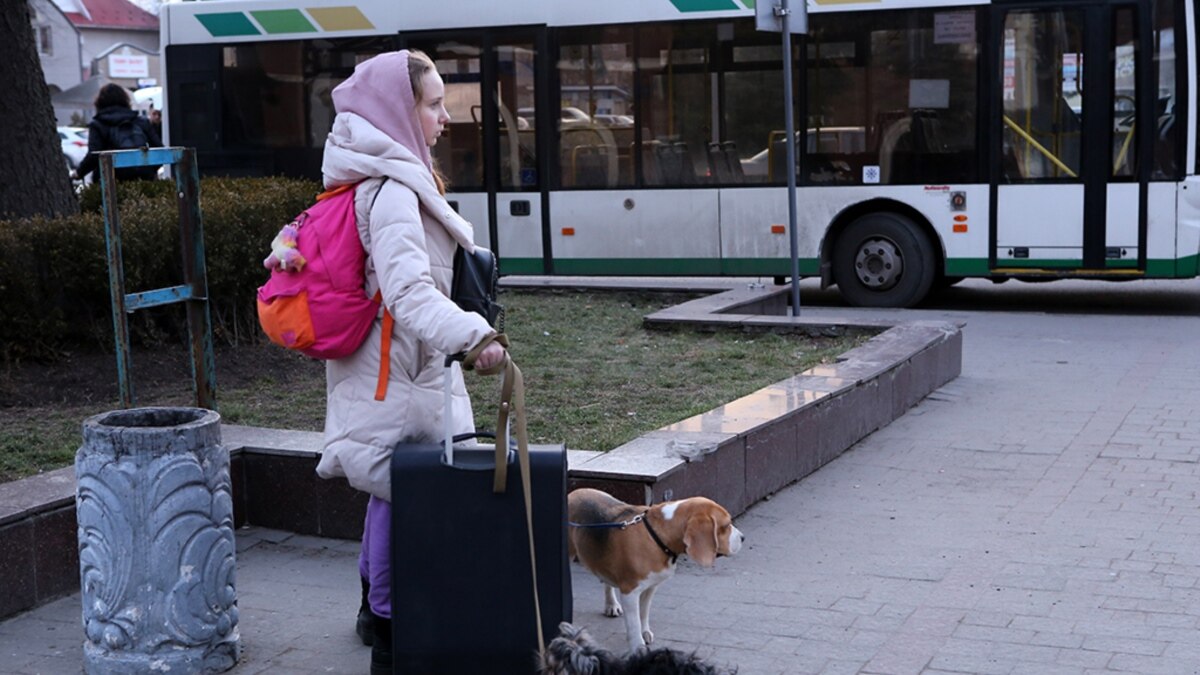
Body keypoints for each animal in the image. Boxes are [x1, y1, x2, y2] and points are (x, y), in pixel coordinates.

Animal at [564, 485, 739, 648]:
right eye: (726, 525)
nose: (743, 537)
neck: (657, 535)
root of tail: (574, 492)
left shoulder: (650, 586)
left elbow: (643, 613)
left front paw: (645, 632)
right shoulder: (630, 592)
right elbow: (634, 623)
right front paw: (638, 646)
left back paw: (611, 605)